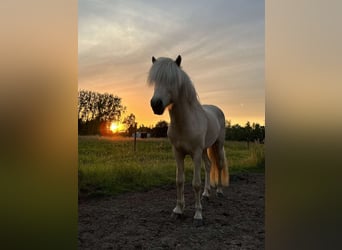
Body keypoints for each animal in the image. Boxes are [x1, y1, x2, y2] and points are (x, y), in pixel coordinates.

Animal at [148, 55, 230, 227]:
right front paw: (178, 210)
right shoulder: (178, 153)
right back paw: (206, 194)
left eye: (172, 80)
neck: (185, 123)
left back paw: (219, 191)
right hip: (205, 149)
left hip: (218, 145)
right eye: (155, 81)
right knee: (209, 165)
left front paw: (198, 214)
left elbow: (195, 184)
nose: (156, 104)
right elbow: (180, 180)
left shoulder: (195, 153)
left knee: (219, 165)